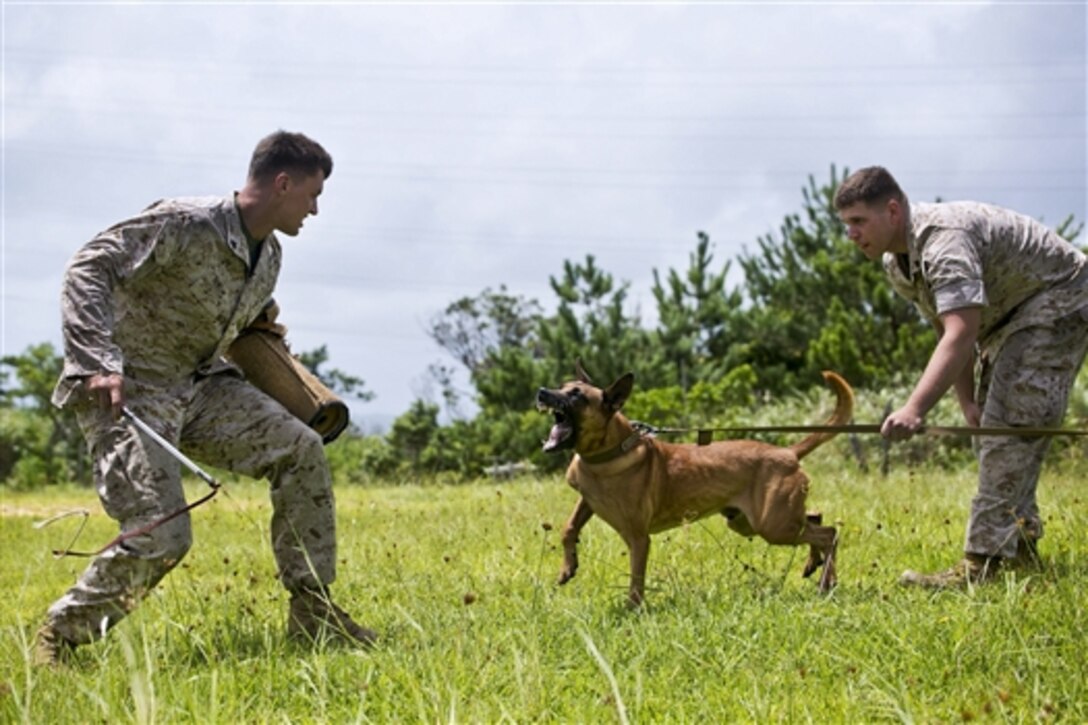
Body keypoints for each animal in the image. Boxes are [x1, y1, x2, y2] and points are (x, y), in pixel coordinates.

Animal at [539, 361, 852, 605]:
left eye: (577, 395)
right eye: (561, 385)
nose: (541, 392)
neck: (607, 453)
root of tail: (788, 452)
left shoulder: (638, 537)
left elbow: (636, 578)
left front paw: (633, 610)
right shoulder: (587, 501)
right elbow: (568, 528)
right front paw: (568, 568)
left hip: (773, 525)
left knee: (829, 534)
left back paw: (827, 582)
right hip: (753, 521)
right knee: (816, 518)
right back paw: (814, 564)